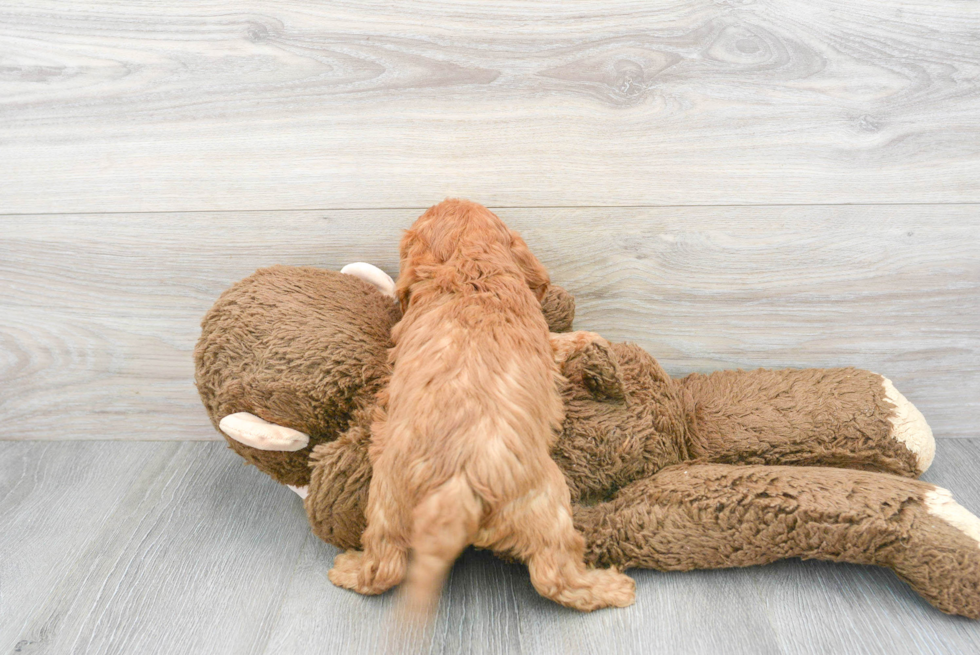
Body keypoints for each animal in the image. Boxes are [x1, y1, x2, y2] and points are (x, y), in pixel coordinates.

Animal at [330, 200, 636, 616]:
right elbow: (578, 339)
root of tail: (455, 487)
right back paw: (613, 587)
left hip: (385, 504)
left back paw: (347, 569)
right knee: (556, 577)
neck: (468, 270)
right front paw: (602, 359)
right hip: (548, 503)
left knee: (383, 567)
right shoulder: (547, 345)